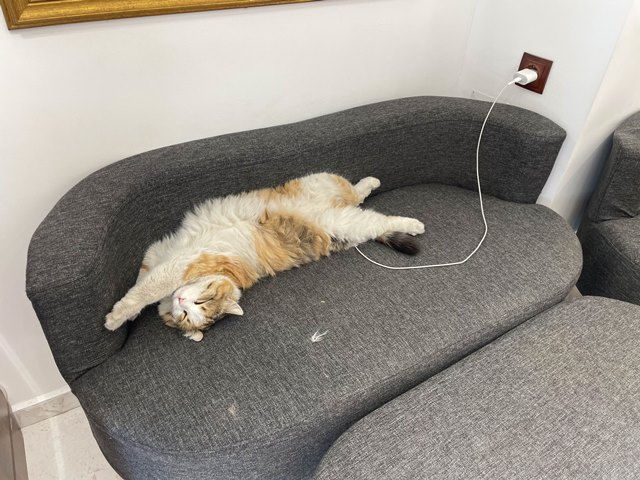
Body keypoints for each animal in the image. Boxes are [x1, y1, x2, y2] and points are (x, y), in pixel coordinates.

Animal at [104, 173, 425, 341]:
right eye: (184, 315)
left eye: (203, 302)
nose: (181, 300)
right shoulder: (157, 253)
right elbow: (143, 280)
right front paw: (130, 314)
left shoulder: (183, 262)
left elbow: (146, 289)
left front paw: (114, 318)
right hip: (343, 213)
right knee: (359, 200)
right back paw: (372, 187)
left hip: (333, 200)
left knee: (378, 216)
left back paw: (412, 221)